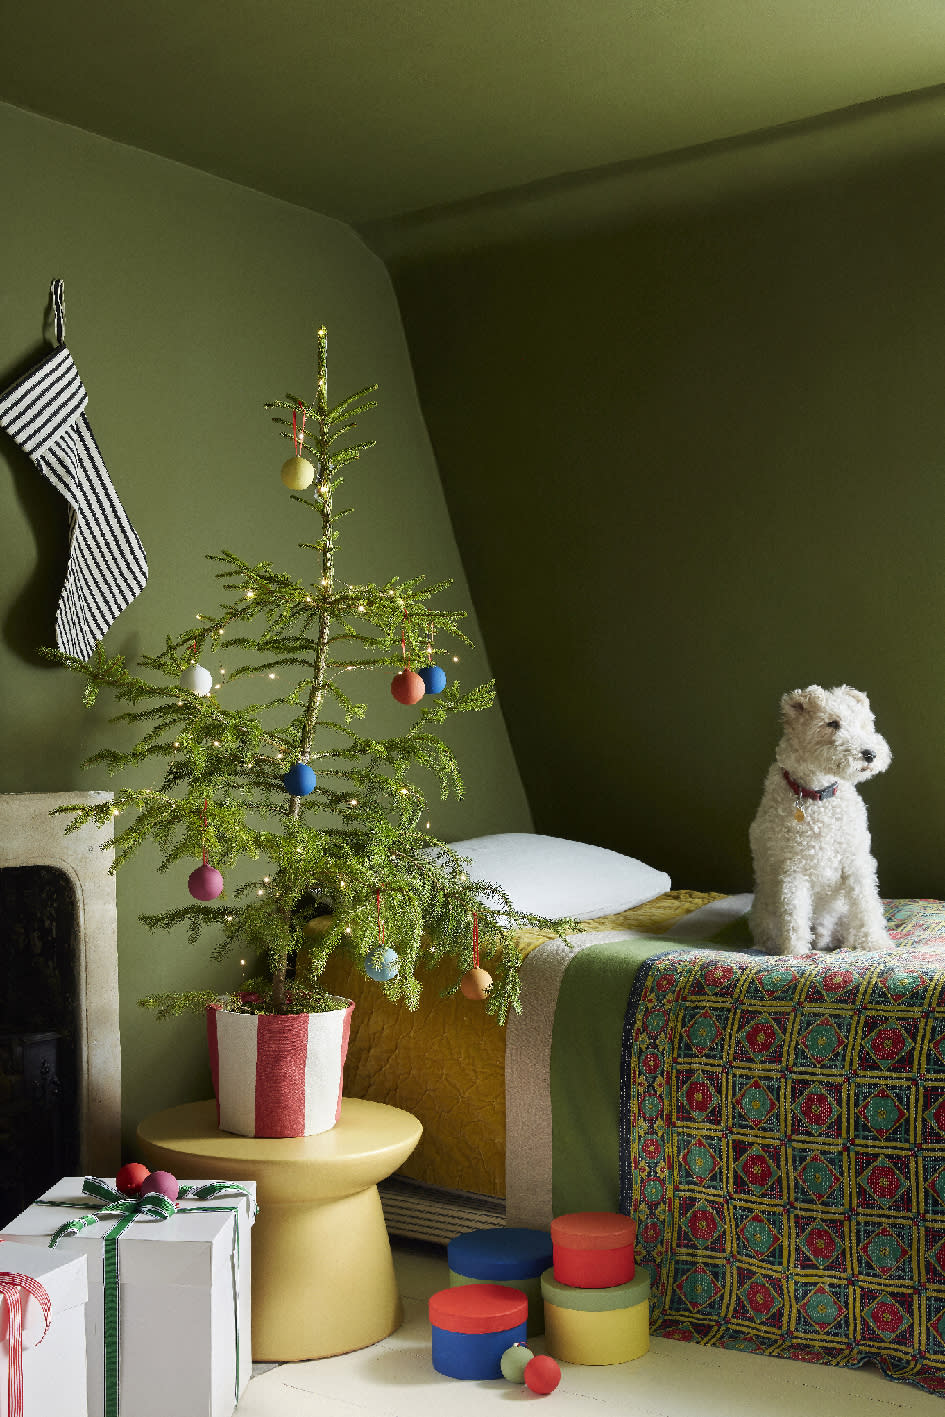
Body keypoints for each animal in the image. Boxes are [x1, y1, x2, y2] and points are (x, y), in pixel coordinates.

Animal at [748, 682, 889, 957]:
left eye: (865, 723)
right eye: (832, 723)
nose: (870, 754)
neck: (818, 796)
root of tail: (824, 935)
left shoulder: (855, 861)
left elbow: (867, 905)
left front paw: (876, 943)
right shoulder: (792, 867)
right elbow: (794, 916)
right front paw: (795, 953)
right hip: (765, 912)